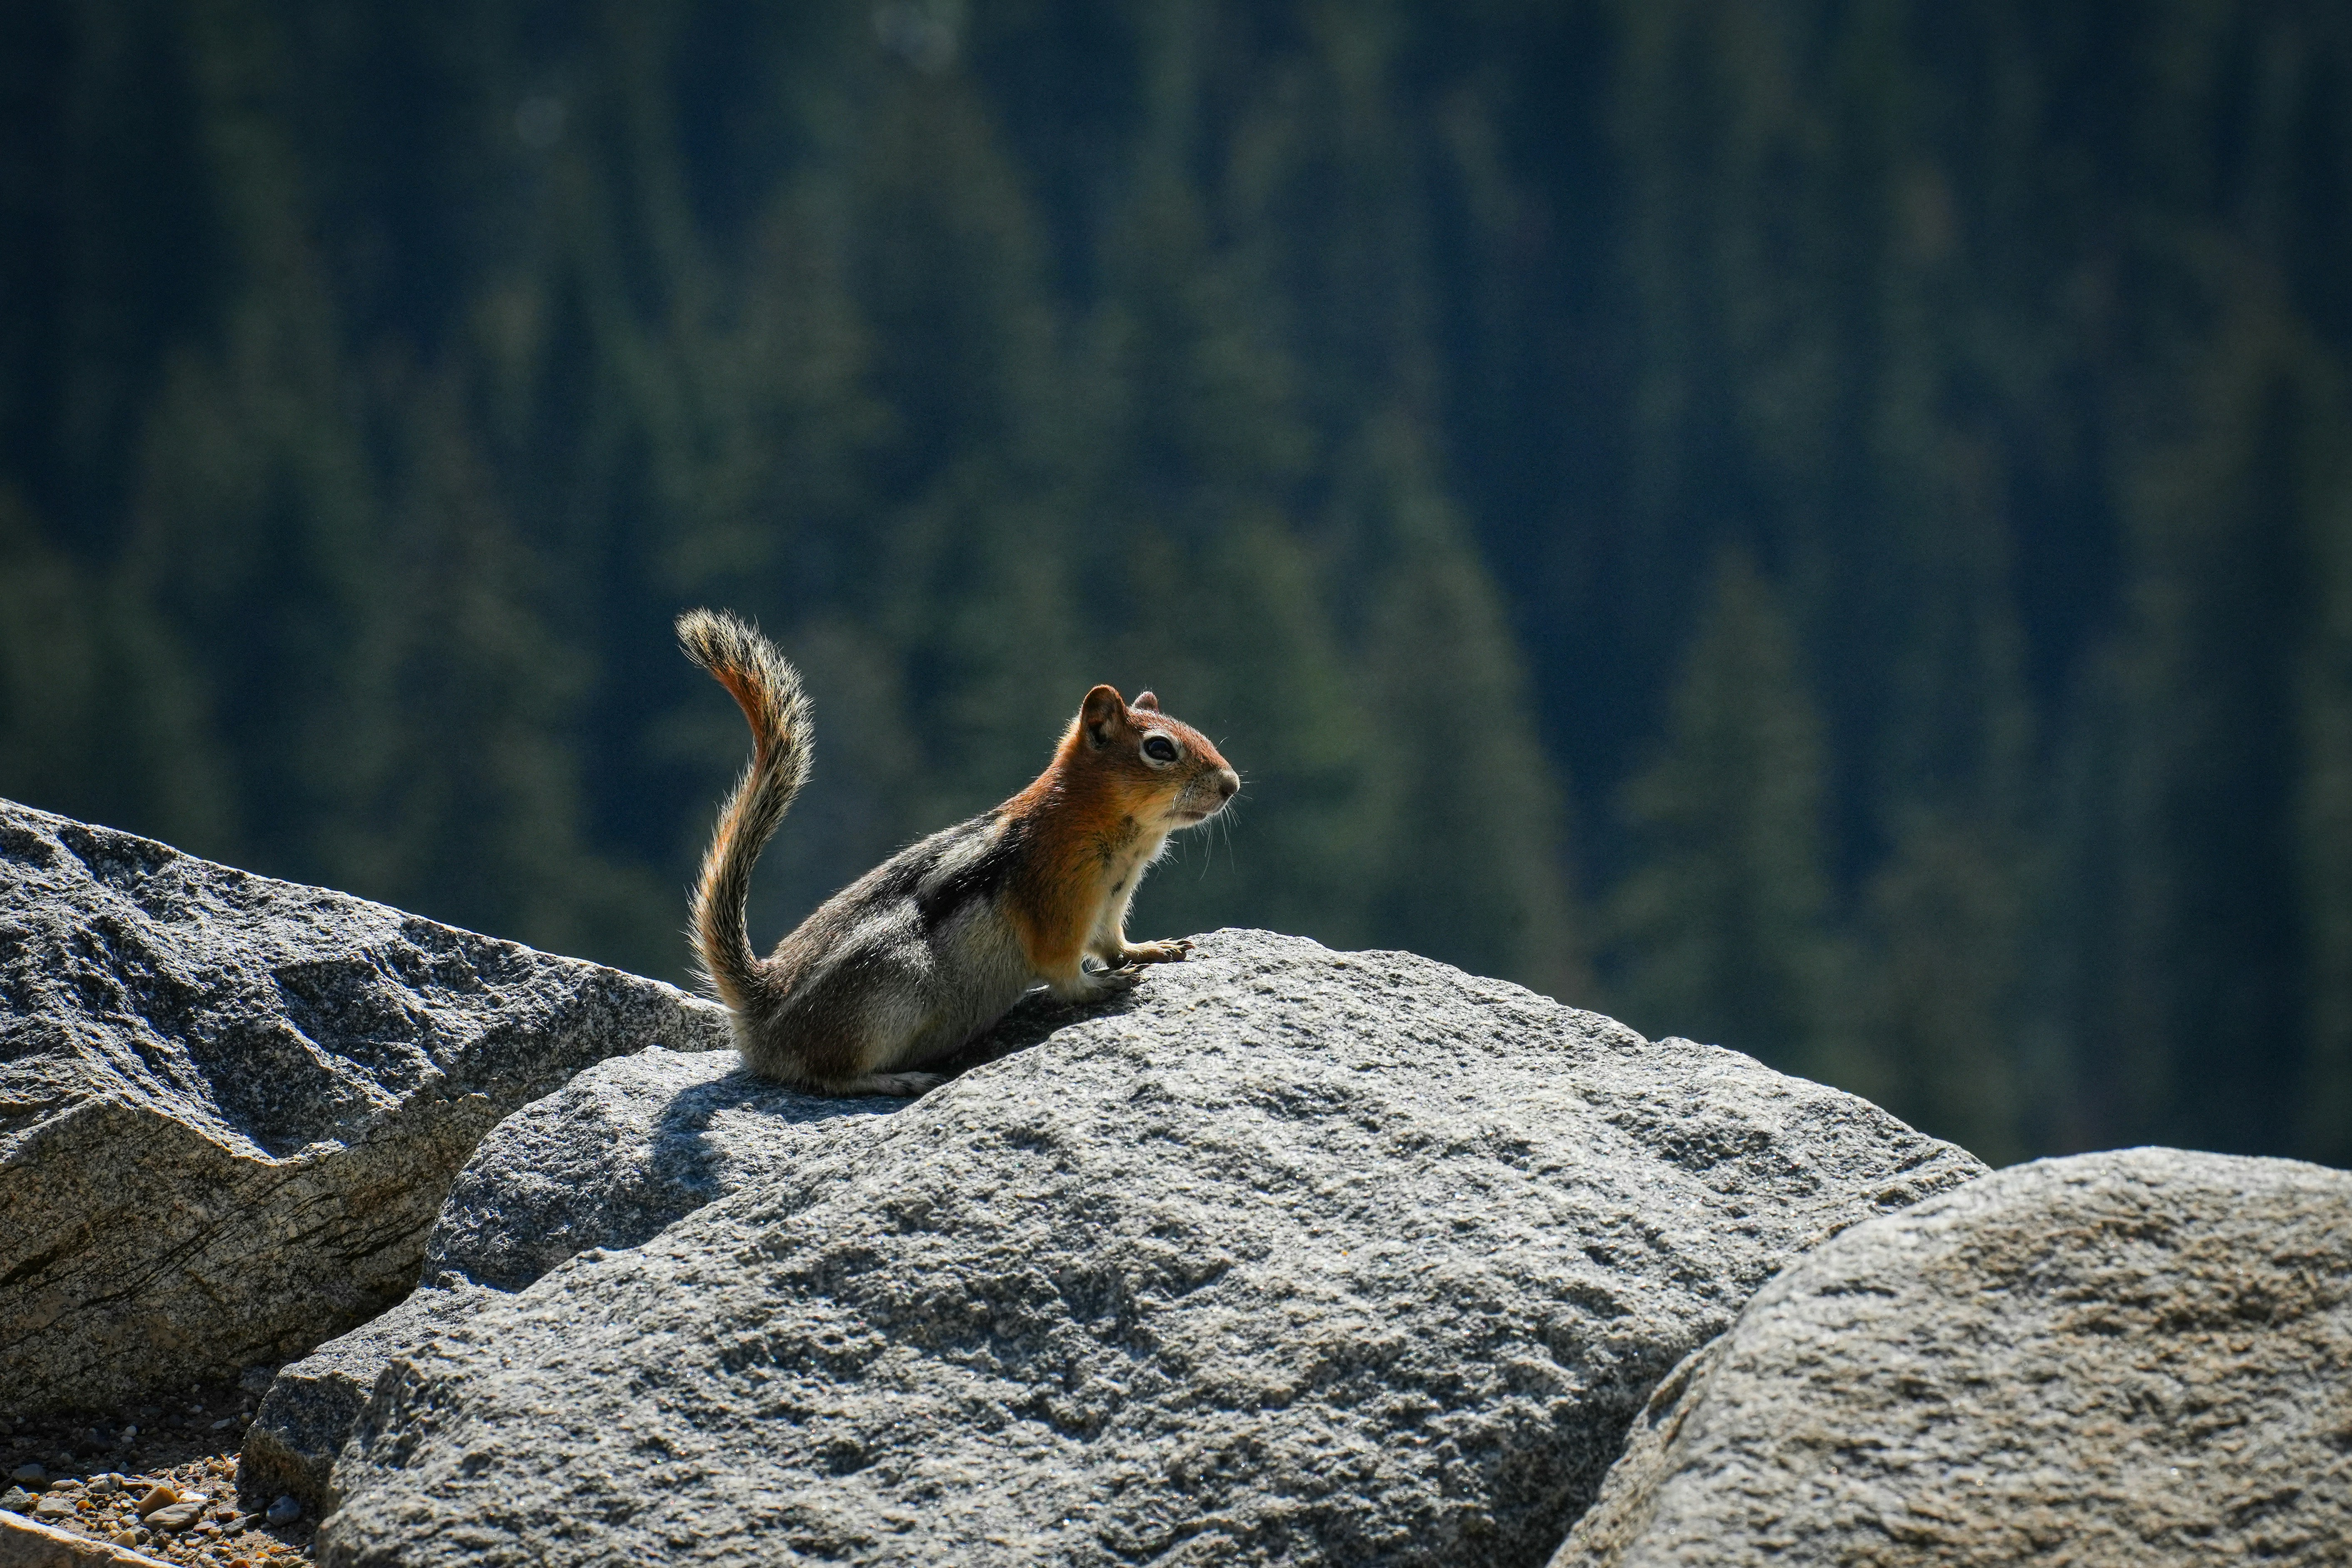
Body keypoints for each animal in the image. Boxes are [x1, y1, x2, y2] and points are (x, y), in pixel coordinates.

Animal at [676, 608, 1240, 1096]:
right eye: (1160, 748)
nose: (1232, 784)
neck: (1110, 831)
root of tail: (760, 1009)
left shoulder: (1109, 903)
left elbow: (1112, 942)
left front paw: (1151, 950)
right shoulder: (1059, 904)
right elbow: (1064, 973)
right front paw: (1105, 985)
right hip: (895, 983)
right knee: (826, 1074)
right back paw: (898, 1079)